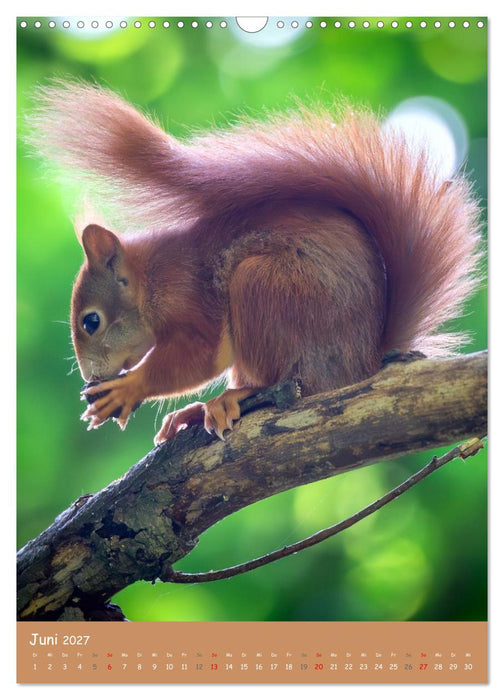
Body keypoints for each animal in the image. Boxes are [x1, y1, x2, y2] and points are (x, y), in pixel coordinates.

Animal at [29, 82, 482, 444]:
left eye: (91, 321)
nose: (91, 379)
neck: (149, 279)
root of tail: (362, 362)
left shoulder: (187, 294)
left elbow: (197, 356)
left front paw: (127, 389)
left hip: (263, 286)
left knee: (293, 381)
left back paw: (231, 398)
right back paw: (197, 411)